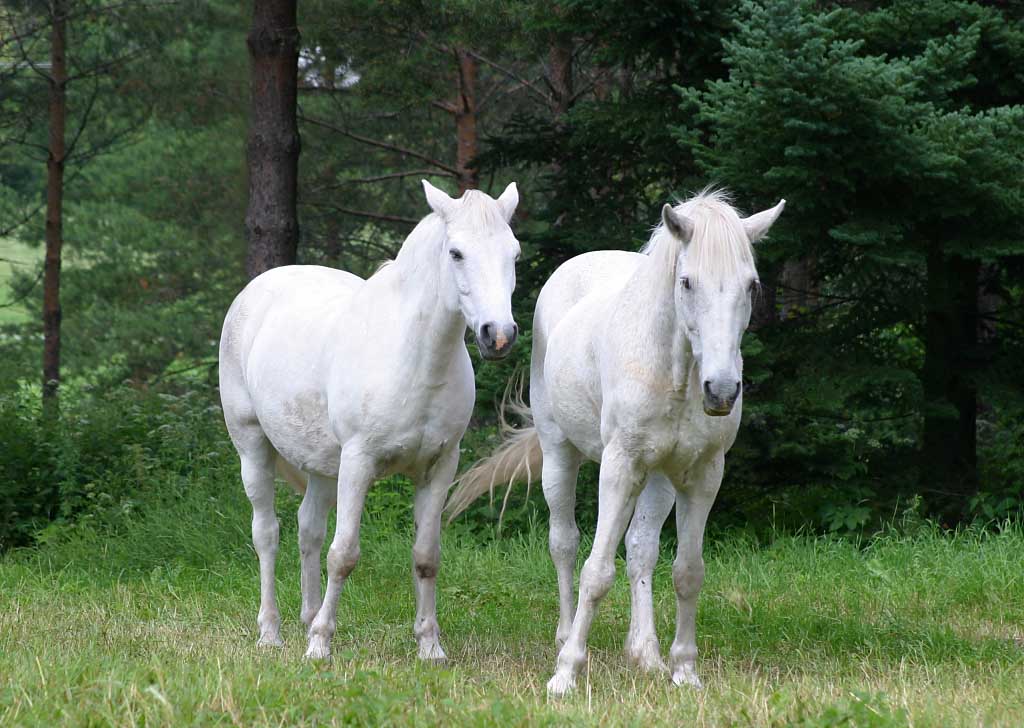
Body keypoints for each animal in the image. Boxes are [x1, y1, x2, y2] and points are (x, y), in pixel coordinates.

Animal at [217, 181, 520, 659]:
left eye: (514, 254)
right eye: (456, 253)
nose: (499, 335)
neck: (413, 356)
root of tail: (255, 291)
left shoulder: (440, 466)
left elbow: (426, 556)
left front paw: (430, 646)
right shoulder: (358, 463)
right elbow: (343, 554)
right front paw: (320, 645)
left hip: (323, 466)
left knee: (308, 530)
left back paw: (306, 617)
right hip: (252, 447)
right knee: (267, 533)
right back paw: (271, 632)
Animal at [448, 188, 782, 696]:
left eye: (751, 286)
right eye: (687, 282)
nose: (722, 391)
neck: (674, 370)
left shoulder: (703, 475)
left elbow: (687, 572)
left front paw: (684, 670)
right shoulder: (619, 467)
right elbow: (595, 570)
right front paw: (566, 672)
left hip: (658, 478)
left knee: (641, 551)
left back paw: (645, 654)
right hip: (559, 456)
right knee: (564, 544)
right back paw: (566, 635)